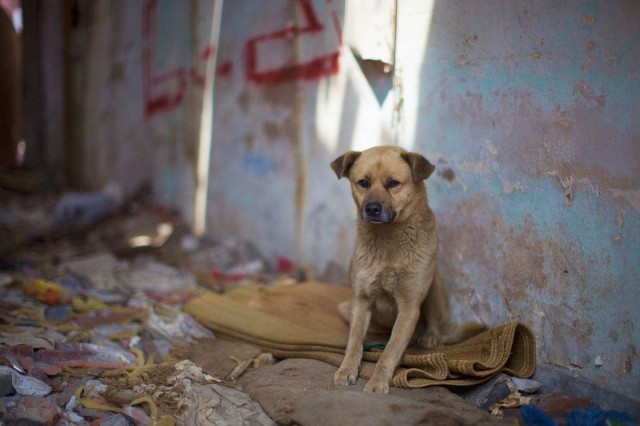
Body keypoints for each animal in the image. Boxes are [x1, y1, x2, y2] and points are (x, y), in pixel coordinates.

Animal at [330, 146, 484, 392]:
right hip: (347, 307)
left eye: (393, 183)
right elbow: (354, 342)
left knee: (435, 326)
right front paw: (347, 369)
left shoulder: (409, 307)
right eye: (363, 182)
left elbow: (390, 351)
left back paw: (429, 338)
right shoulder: (362, 301)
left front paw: (378, 382)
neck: (388, 240)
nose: (372, 208)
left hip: (434, 286)